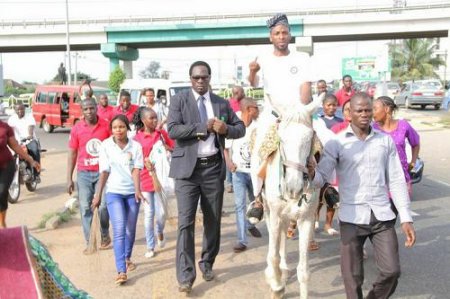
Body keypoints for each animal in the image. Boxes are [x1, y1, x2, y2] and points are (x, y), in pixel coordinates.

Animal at [262, 101, 322, 299]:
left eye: (309, 137)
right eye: (282, 138)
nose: (293, 187)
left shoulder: (306, 219)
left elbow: (304, 272)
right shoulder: (274, 214)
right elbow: (272, 255)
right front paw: (276, 286)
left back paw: (284, 268)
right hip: (268, 209)